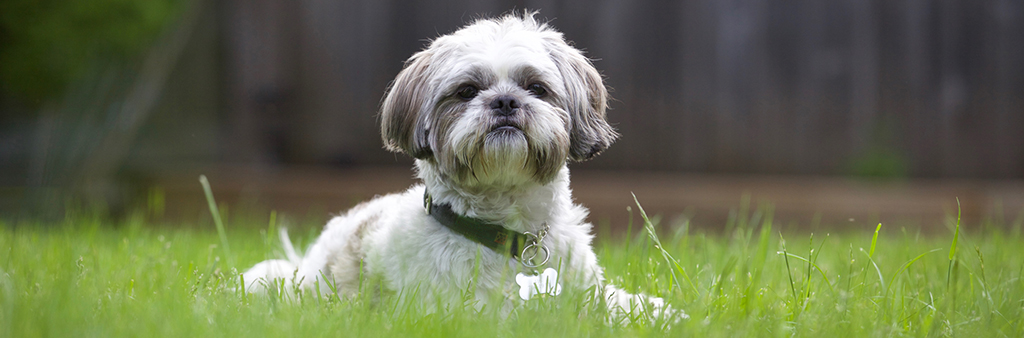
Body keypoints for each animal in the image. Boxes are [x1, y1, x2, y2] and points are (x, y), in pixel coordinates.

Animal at [243, 10, 684, 321]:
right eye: (468, 91)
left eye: (536, 88)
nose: (505, 101)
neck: (507, 237)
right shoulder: (468, 312)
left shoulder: (586, 290)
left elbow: (615, 305)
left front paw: (664, 314)